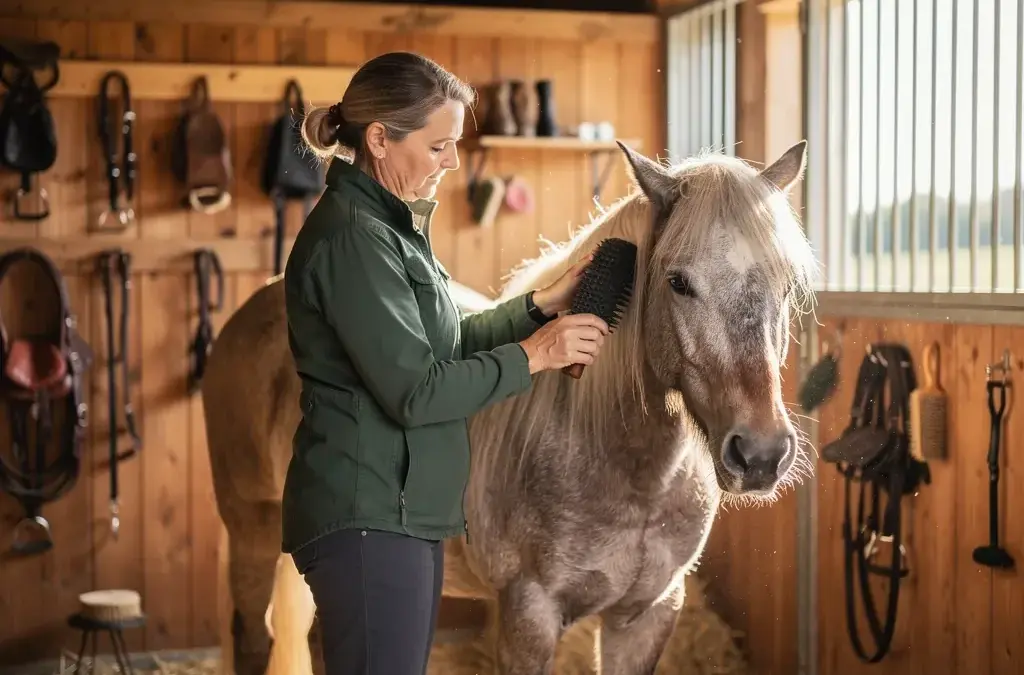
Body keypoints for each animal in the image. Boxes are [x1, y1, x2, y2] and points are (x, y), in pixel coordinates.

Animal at [201, 139, 818, 675]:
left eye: (787, 286)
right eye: (678, 281)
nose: (760, 453)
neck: (622, 466)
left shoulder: (645, 616)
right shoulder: (530, 615)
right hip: (252, 533)